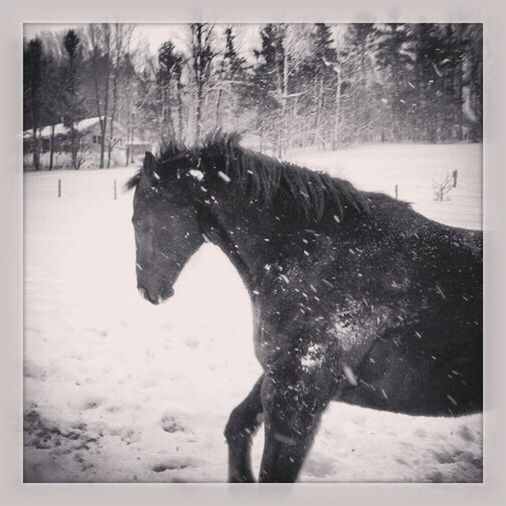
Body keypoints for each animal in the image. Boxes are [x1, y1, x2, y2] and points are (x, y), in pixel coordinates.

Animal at [126, 133, 482, 482]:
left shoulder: (299, 393)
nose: (146, 291)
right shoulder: (277, 375)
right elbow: (237, 426)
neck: (311, 257)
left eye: (138, 220)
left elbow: (274, 471)